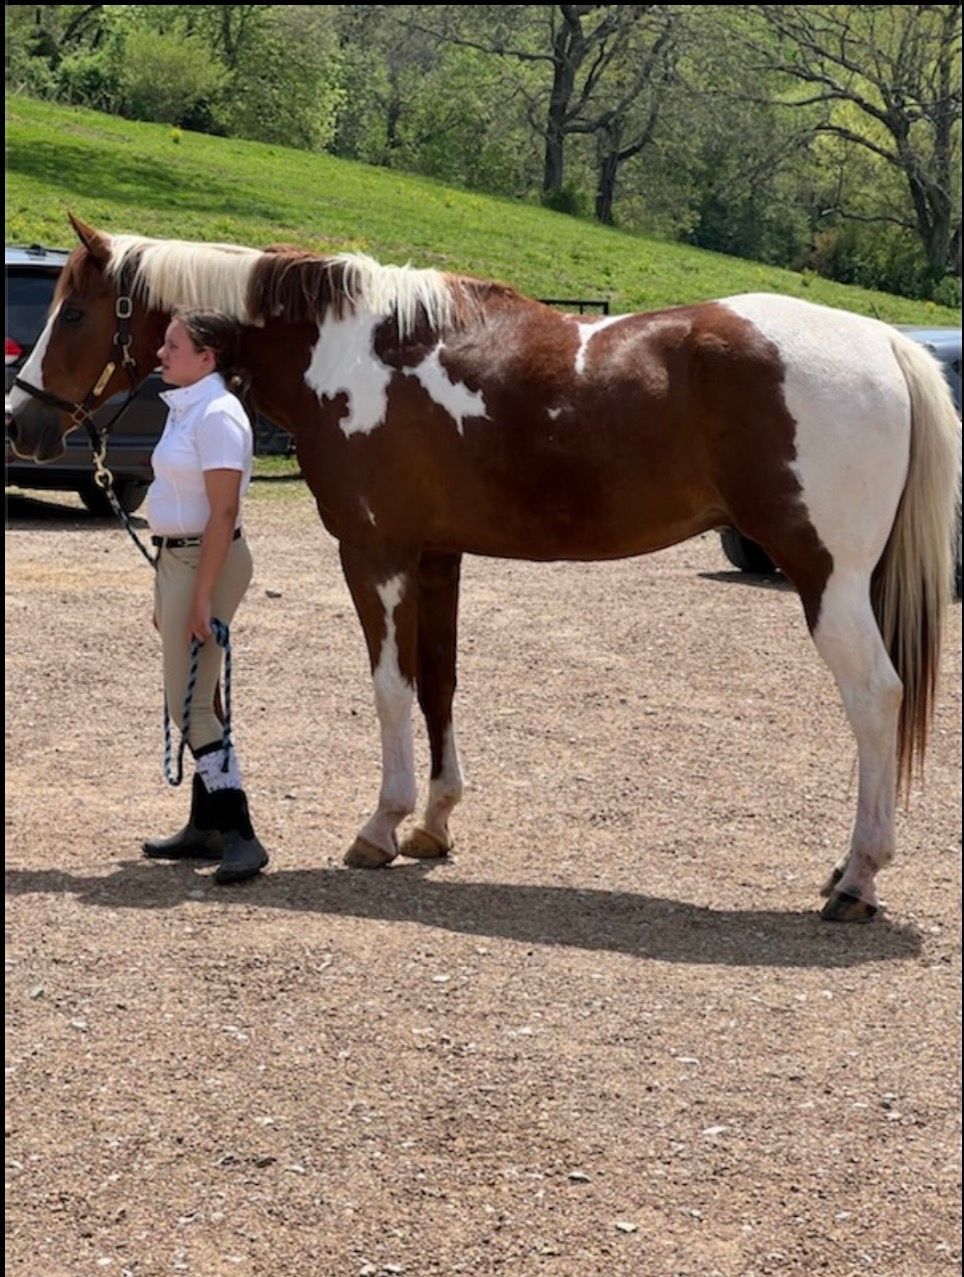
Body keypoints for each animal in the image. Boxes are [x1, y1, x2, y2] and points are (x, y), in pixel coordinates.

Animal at [9, 214, 960, 922]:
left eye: (76, 313)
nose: (22, 422)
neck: (355, 354)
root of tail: (884, 343)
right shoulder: (439, 556)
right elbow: (439, 683)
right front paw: (434, 824)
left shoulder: (377, 554)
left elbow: (391, 686)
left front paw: (382, 826)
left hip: (827, 579)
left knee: (875, 698)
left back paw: (856, 876)